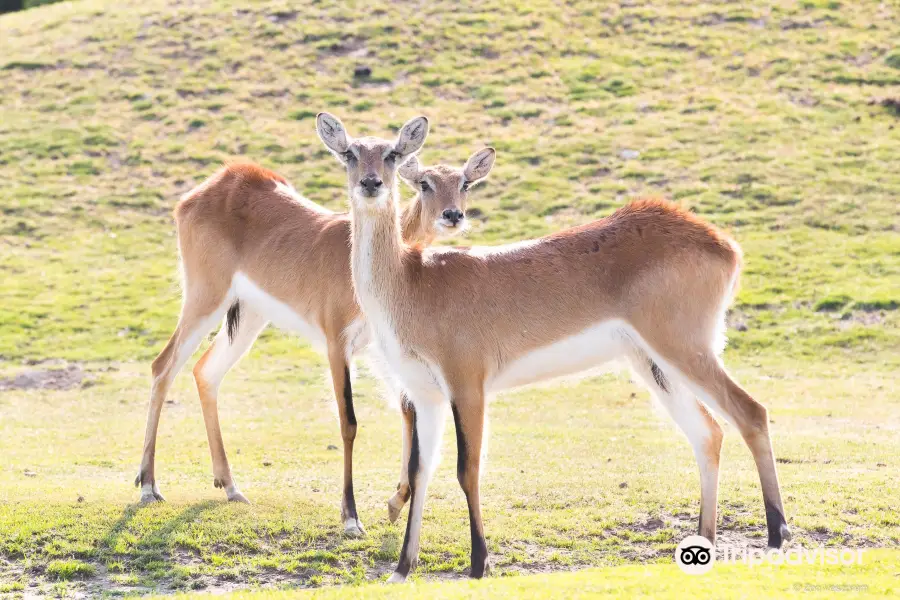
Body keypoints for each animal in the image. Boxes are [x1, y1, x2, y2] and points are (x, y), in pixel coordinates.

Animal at [138, 129, 474, 532]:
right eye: (425, 183)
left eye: (466, 183)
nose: (452, 215)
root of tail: (218, 181)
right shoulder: (336, 343)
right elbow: (349, 421)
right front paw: (351, 516)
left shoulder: (378, 348)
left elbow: (408, 408)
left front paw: (396, 501)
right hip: (205, 298)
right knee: (163, 366)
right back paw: (148, 486)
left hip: (248, 316)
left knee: (206, 372)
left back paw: (230, 486)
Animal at [312, 113, 792, 580]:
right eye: (350, 153)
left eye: (392, 154)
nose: (371, 183)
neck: (412, 281)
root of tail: (719, 241)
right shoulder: (425, 394)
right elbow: (421, 471)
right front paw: (402, 568)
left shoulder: (467, 385)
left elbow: (468, 469)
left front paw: (479, 562)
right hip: (654, 364)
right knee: (707, 432)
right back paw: (703, 542)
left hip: (685, 349)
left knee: (751, 412)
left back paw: (777, 534)